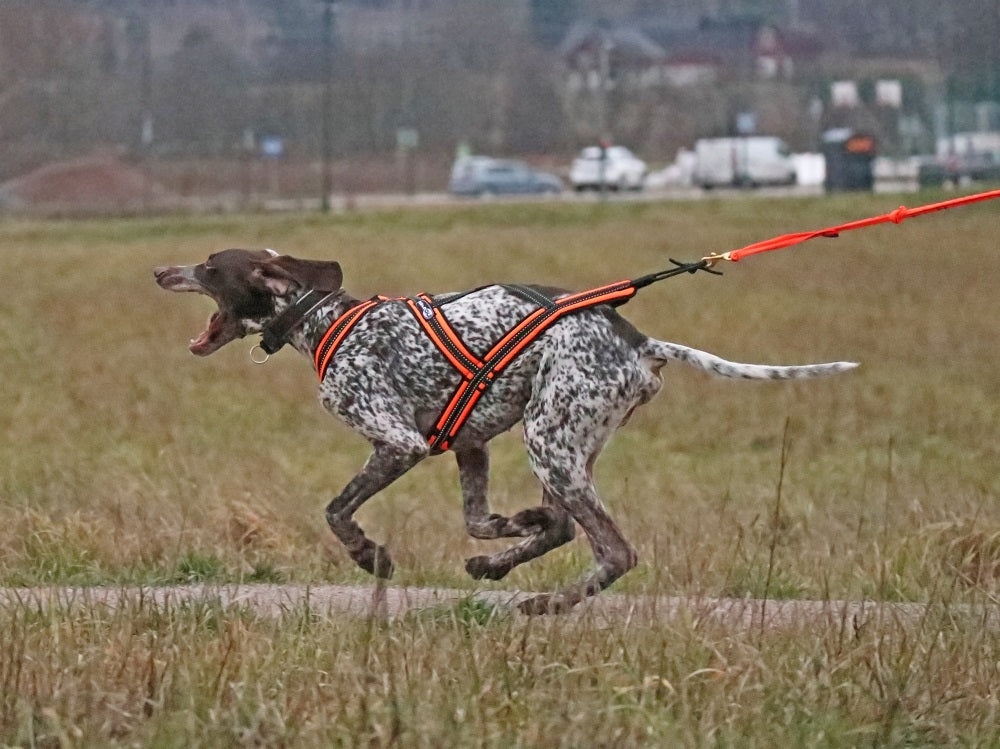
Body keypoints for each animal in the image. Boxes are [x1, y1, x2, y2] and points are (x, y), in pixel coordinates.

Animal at [152, 251, 856, 612]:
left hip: (549, 443)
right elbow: (482, 520)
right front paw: (509, 530)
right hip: (566, 446)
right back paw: (500, 565)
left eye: (210, 267)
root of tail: (640, 343)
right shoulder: (470, 444)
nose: (159, 272)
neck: (323, 319)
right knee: (567, 526)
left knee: (614, 551)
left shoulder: (398, 442)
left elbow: (337, 511)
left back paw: (549, 603)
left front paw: (369, 556)